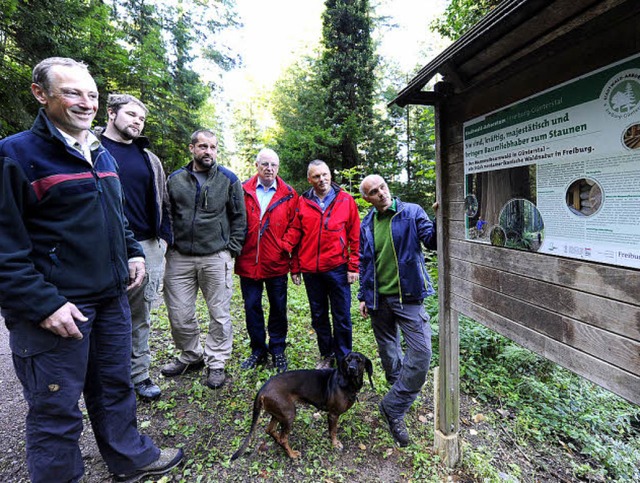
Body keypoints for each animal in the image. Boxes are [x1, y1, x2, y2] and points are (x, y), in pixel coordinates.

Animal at [230, 352, 372, 462]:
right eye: (348, 360)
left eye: (359, 361)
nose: (352, 368)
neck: (348, 383)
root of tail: (261, 390)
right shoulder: (333, 414)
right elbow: (333, 431)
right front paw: (335, 444)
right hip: (289, 414)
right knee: (283, 439)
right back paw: (292, 454)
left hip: (278, 413)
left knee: (270, 430)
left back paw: (278, 441)